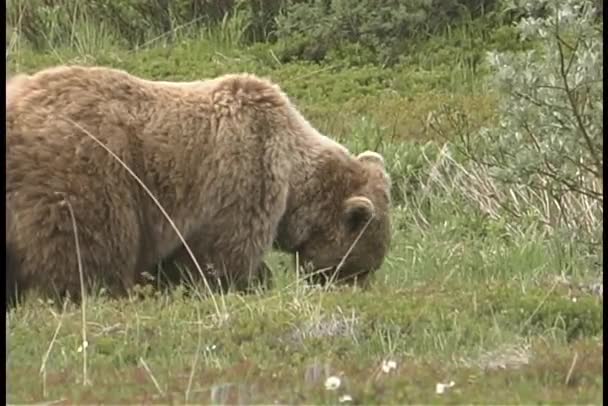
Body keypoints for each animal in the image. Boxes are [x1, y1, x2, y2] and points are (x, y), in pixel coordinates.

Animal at [4, 65, 392, 302]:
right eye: (359, 266)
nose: (356, 289)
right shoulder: (243, 173)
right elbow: (224, 254)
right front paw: (248, 283)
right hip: (86, 170)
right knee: (87, 245)